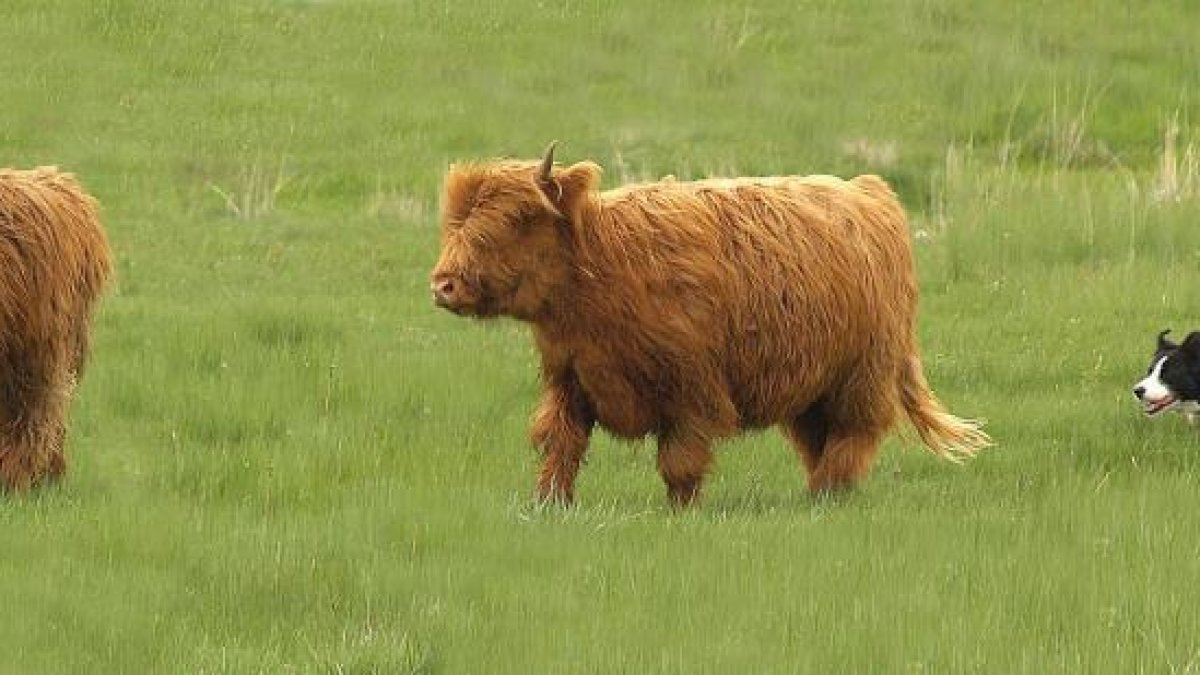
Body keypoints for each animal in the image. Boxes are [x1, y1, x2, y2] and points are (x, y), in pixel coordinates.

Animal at [430, 143, 989, 506]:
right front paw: (549, 506)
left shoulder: (691, 389)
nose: (444, 284)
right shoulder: (571, 381)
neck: (601, 269)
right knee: (819, 441)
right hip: (811, 387)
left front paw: (682, 513)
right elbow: (561, 447)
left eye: (519, 218)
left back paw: (824, 498)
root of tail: (869, 192)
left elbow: (679, 462)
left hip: (862, 374)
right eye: (456, 221)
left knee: (853, 438)